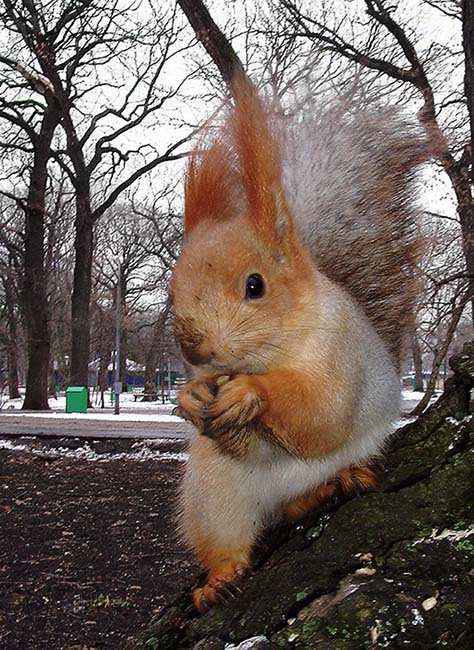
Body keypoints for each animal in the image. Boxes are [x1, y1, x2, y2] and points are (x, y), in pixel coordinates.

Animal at [170, 76, 427, 613]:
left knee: (299, 501)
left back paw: (335, 484)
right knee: (232, 539)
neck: (274, 352)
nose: (194, 349)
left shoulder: (340, 355)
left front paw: (251, 394)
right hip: (213, 495)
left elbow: (321, 414)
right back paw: (218, 580)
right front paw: (190, 397)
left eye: (255, 286)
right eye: (171, 289)